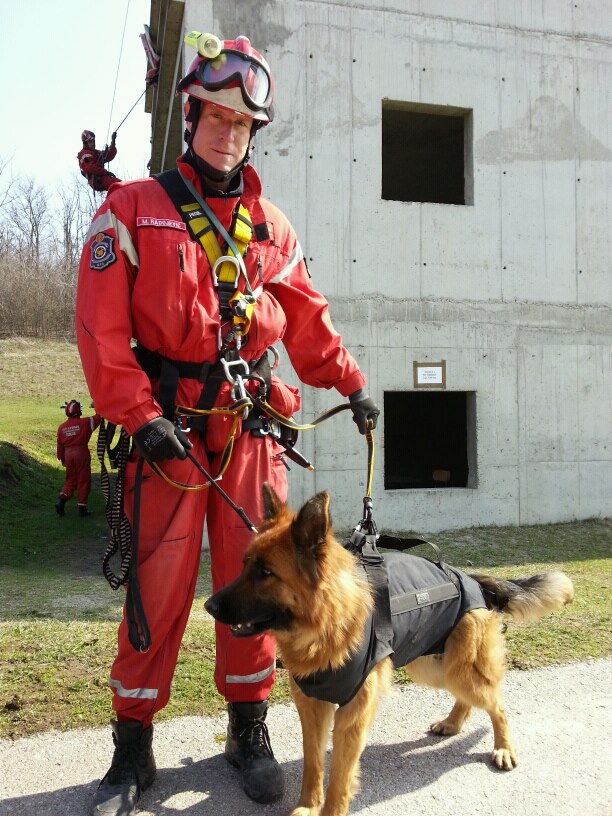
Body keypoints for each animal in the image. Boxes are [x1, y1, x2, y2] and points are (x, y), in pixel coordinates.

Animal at [206, 488, 572, 812]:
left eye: (265, 573)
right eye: (244, 565)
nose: (209, 606)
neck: (327, 623)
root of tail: (469, 579)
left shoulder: (352, 714)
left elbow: (340, 780)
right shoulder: (312, 706)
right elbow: (313, 766)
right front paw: (306, 807)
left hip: (456, 670)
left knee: (496, 703)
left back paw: (503, 747)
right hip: (433, 666)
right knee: (469, 697)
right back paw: (453, 723)